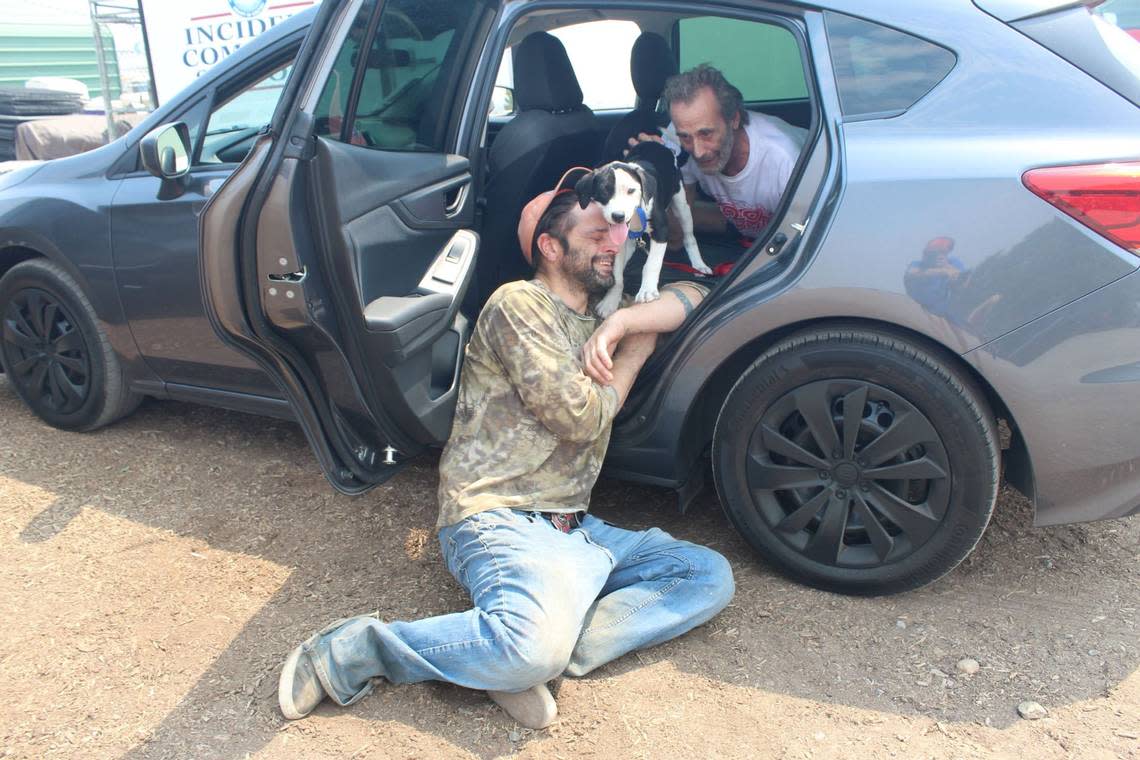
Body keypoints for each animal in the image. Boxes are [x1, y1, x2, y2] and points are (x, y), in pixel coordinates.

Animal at [574, 139, 706, 319]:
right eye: (603, 192)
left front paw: (647, 290)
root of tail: (656, 143)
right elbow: (616, 274)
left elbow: (652, 263)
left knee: (689, 236)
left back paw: (699, 265)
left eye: (631, 191)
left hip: (681, 203)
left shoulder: (661, 230)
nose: (618, 216)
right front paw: (610, 300)